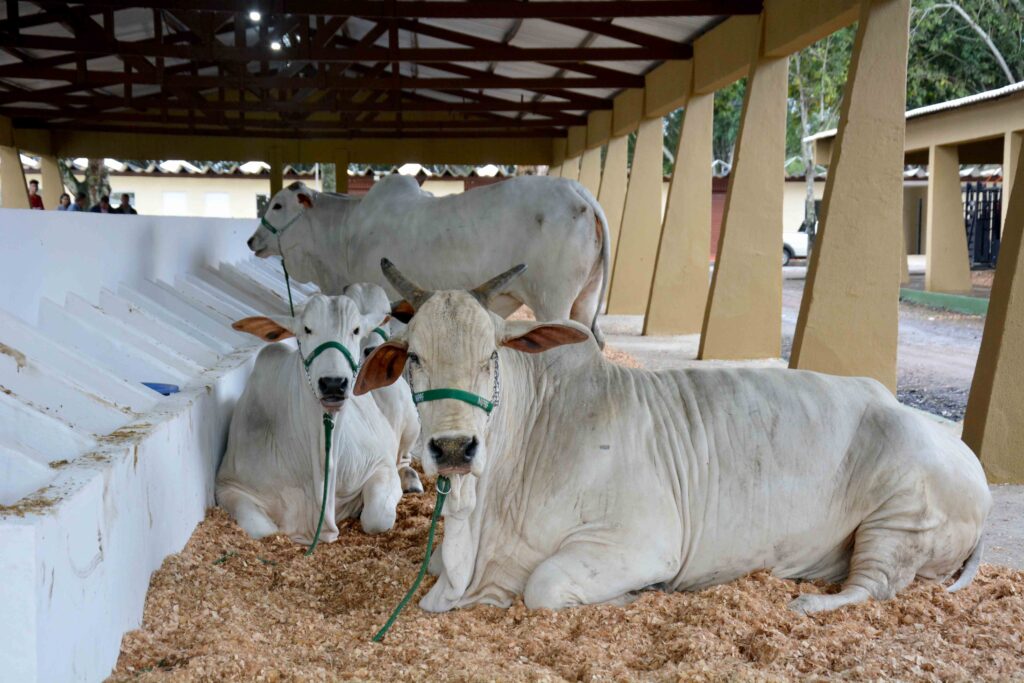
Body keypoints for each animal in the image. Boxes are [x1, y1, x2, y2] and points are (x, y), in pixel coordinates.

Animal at [218, 294, 417, 544]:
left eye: (356, 329)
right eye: (306, 329)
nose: (333, 383)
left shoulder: (379, 464)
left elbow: (377, 518)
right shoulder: (229, 485)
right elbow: (263, 530)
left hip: (410, 423)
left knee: (404, 457)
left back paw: (410, 479)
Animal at [241, 175, 606, 344]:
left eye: (277, 205)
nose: (251, 240)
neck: (345, 233)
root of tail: (578, 192)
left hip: (552, 302)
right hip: (585, 301)